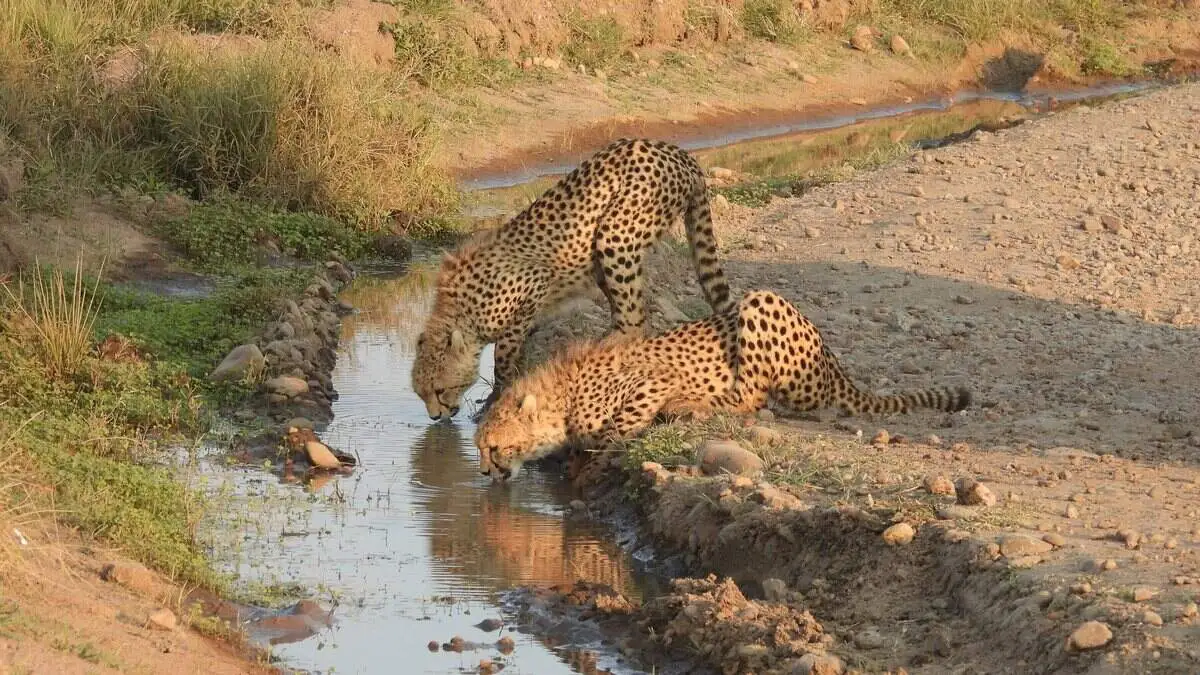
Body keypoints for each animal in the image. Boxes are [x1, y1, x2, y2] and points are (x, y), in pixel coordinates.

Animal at [412, 137, 734, 420]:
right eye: (420, 394)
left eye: (439, 390)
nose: (435, 417)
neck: (462, 310)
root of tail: (678, 151)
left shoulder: (534, 285)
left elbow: (502, 357)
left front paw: (492, 399)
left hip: (615, 235)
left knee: (636, 320)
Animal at [475, 289, 971, 480]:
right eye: (479, 448)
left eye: (494, 448)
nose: (483, 473)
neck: (561, 396)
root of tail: (834, 363)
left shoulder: (653, 380)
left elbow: (618, 428)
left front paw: (591, 465)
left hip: (759, 303)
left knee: (750, 398)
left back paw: (692, 405)